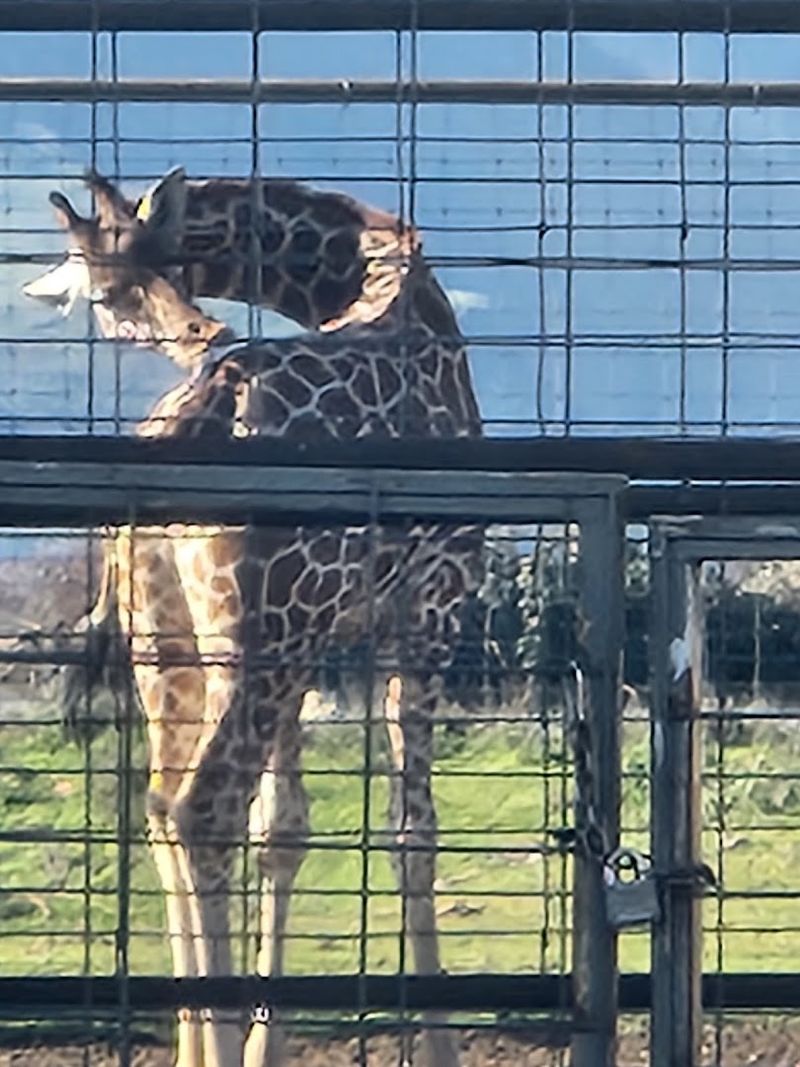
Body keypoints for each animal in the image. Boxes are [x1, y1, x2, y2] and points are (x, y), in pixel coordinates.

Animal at [24, 168, 487, 1067]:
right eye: (107, 294)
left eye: (172, 262)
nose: (206, 332)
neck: (376, 272)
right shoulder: (426, 605)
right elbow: (413, 830)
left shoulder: (320, 641)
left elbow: (285, 830)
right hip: (258, 637)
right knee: (202, 808)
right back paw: (220, 1034)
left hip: (174, 642)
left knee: (165, 805)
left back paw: (199, 1042)